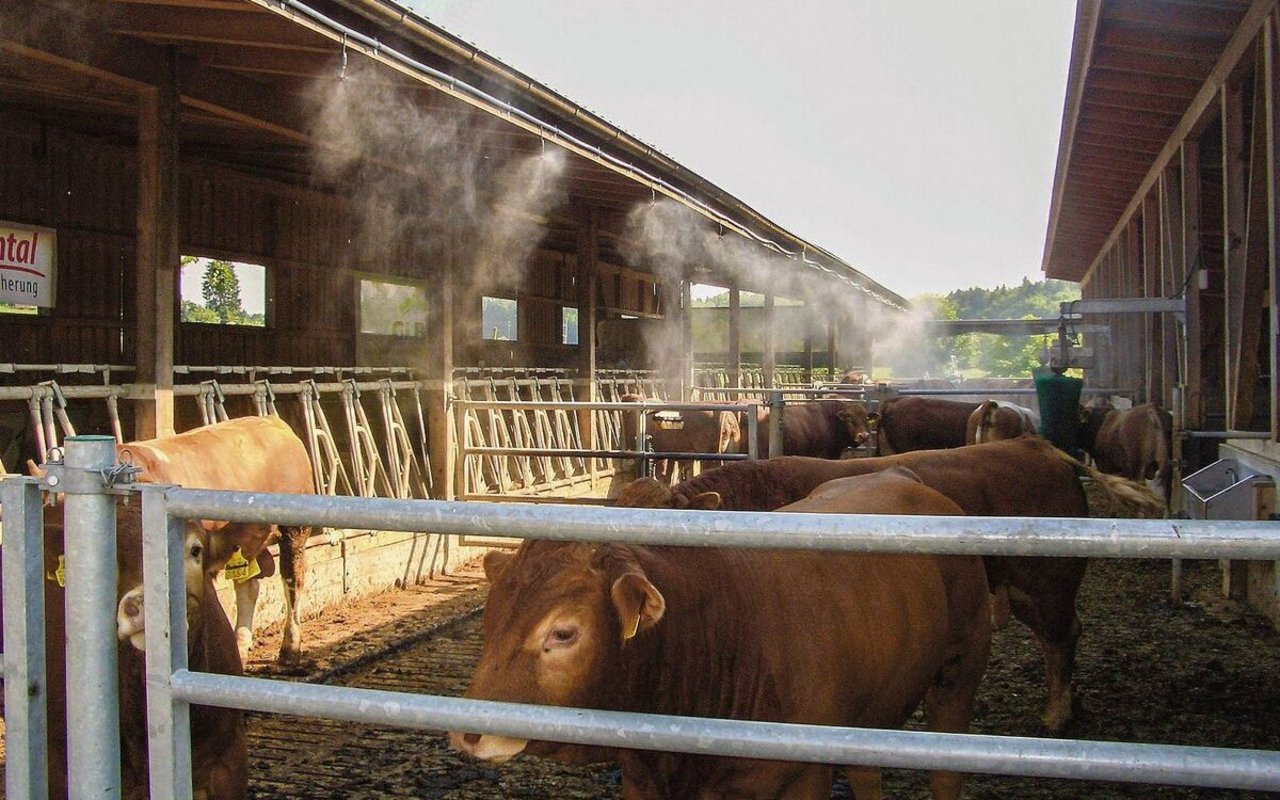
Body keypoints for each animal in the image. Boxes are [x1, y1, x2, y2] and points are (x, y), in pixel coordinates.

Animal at [120, 414, 317, 665]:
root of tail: (270, 419)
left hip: (294, 531)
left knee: (293, 579)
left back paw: (290, 647)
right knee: (248, 585)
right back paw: (241, 644)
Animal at [450, 468, 988, 798]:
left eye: (563, 633)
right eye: (491, 617)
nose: (468, 730)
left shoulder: (802, 778)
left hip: (959, 670)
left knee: (945, 772)